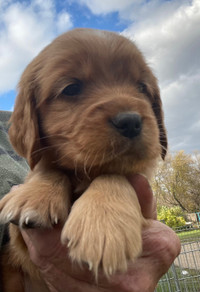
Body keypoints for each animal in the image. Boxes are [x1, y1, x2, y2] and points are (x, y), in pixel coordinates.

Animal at [0, 28, 166, 292]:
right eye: (71, 88)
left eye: (142, 87)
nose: (130, 121)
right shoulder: (20, 243)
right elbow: (48, 168)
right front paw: (35, 195)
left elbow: (114, 174)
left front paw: (103, 228)